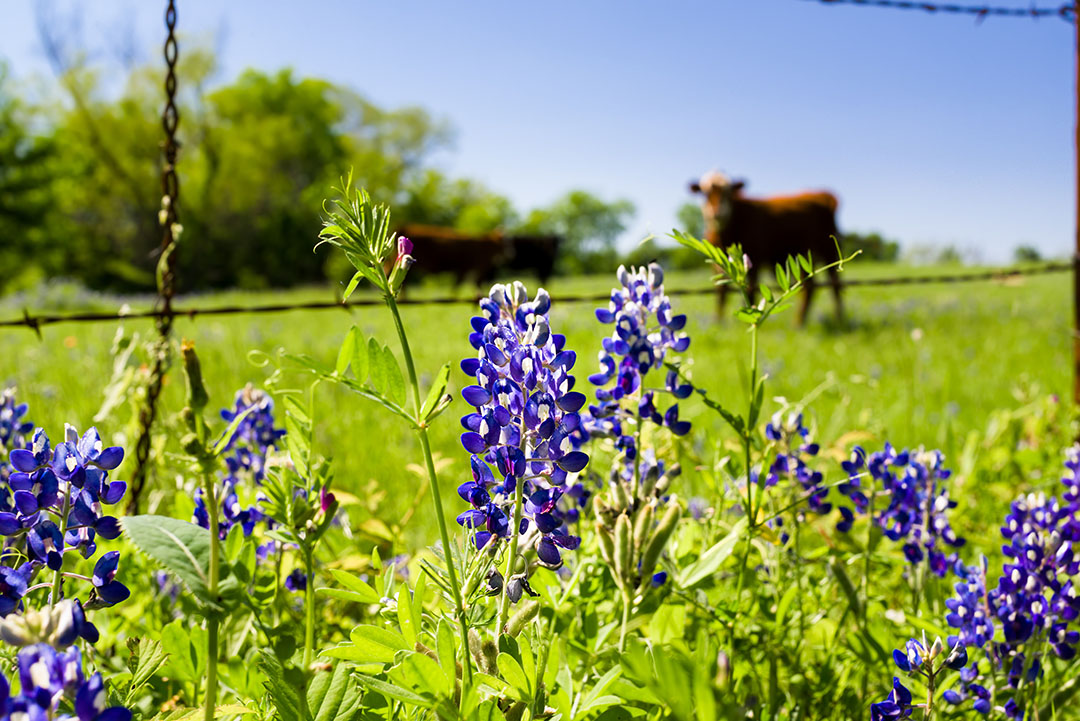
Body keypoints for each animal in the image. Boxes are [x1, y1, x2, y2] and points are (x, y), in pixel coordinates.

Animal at [691, 171, 842, 323]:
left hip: (826, 250)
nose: (716, 214)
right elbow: (721, 293)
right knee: (810, 287)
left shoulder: (755, 257)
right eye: (704, 193)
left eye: (729, 192)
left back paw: (833, 318)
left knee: (833, 285)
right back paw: (801, 322)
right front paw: (718, 322)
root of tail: (824, 195)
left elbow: (750, 292)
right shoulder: (717, 263)